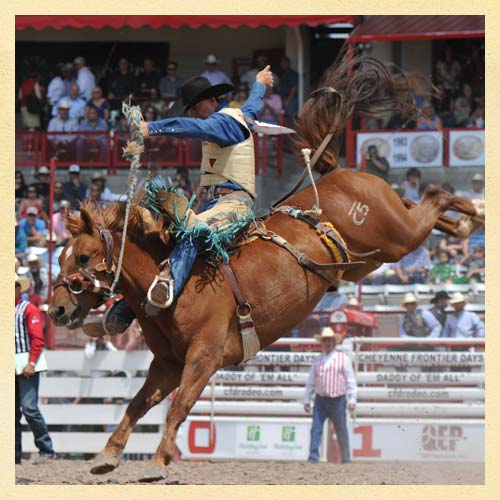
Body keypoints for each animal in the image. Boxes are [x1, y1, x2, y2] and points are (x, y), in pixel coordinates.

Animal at [48, 50, 482, 480]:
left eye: (83, 257)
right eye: (61, 257)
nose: (57, 310)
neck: (170, 287)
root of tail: (340, 173)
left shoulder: (204, 357)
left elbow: (179, 406)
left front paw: (157, 462)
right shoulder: (167, 363)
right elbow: (138, 404)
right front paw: (106, 454)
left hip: (398, 236)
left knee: (434, 193)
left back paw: (475, 209)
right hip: (381, 246)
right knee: (426, 203)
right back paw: (466, 220)